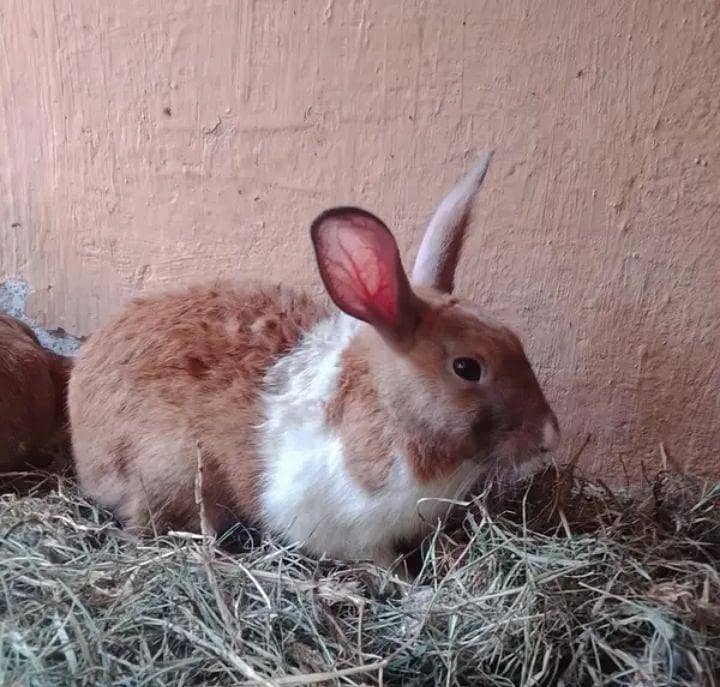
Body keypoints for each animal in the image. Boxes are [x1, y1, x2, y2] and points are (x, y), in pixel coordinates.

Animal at [68, 151, 559, 566]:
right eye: (467, 368)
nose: (550, 437)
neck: (389, 413)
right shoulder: (344, 527)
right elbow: (377, 559)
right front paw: (401, 583)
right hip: (173, 472)